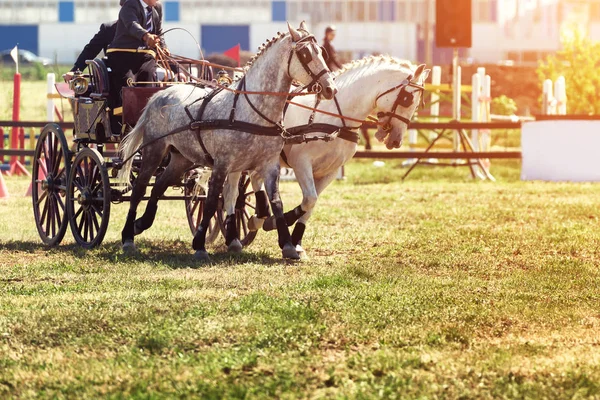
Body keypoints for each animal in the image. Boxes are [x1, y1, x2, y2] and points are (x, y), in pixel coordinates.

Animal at [118, 22, 338, 260]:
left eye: (322, 52)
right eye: (305, 53)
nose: (330, 88)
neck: (252, 110)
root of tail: (160, 94)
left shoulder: (270, 164)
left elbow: (276, 201)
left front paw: (287, 244)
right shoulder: (223, 163)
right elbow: (212, 200)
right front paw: (199, 245)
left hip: (181, 158)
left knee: (158, 186)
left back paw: (141, 223)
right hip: (155, 150)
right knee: (139, 189)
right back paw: (128, 236)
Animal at [223, 55, 428, 256]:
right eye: (408, 99)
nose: (396, 141)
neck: (334, 116)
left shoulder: (330, 171)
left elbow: (310, 205)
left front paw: (295, 242)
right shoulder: (301, 163)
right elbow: (309, 199)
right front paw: (275, 223)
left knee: (255, 178)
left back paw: (259, 216)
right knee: (232, 193)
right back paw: (234, 237)